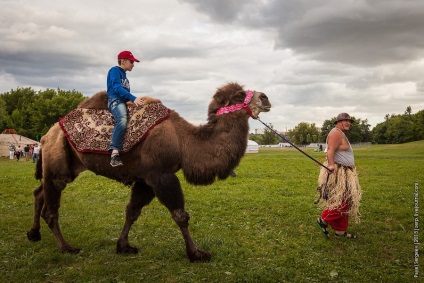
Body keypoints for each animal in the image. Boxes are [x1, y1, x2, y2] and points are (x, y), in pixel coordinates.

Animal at [26, 81, 272, 262]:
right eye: (239, 95)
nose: (265, 97)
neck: (182, 141)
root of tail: (47, 135)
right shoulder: (160, 175)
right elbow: (180, 215)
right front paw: (196, 253)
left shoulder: (145, 179)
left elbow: (132, 211)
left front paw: (123, 246)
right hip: (57, 163)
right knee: (50, 208)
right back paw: (67, 247)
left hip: (66, 166)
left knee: (39, 192)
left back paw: (34, 234)